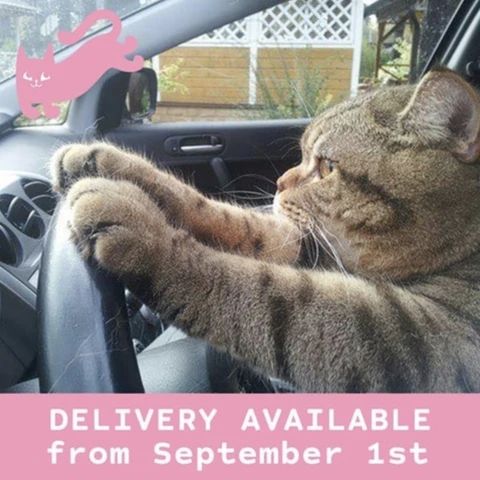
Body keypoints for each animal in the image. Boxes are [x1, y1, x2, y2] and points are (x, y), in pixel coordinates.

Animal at [50, 70, 480, 394]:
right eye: (303, 155)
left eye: (327, 167)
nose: (279, 182)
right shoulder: (304, 246)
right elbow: (223, 217)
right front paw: (101, 160)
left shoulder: (411, 339)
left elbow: (251, 287)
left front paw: (144, 234)